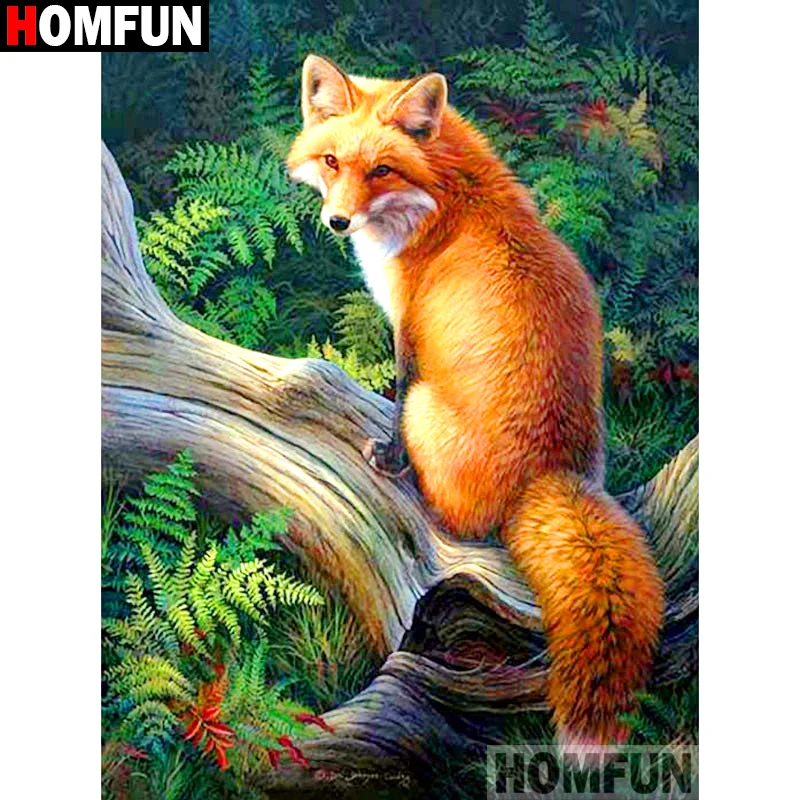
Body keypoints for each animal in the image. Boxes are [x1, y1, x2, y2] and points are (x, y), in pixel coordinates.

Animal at [286, 54, 665, 750]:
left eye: (381, 170)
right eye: (332, 162)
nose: (337, 222)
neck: (447, 198)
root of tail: (551, 473)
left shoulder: (408, 330)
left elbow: (394, 394)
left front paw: (388, 457)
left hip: (427, 408)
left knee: (455, 519)